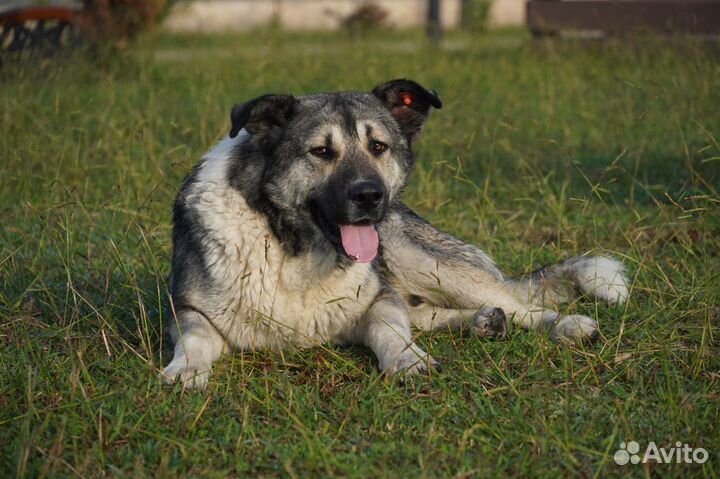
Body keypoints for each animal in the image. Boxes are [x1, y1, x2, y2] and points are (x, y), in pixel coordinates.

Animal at [160, 79, 628, 390]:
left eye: (379, 147)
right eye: (321, 152)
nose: (371, 196)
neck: (292, 246)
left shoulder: (378, 297)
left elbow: (390, 328)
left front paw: (405, 358)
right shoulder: (188, 310)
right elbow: (195, 338)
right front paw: (187, 369)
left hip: (421, 259)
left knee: (521, 305)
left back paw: (564, 325)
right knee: (431, 312)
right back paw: (484, 322)